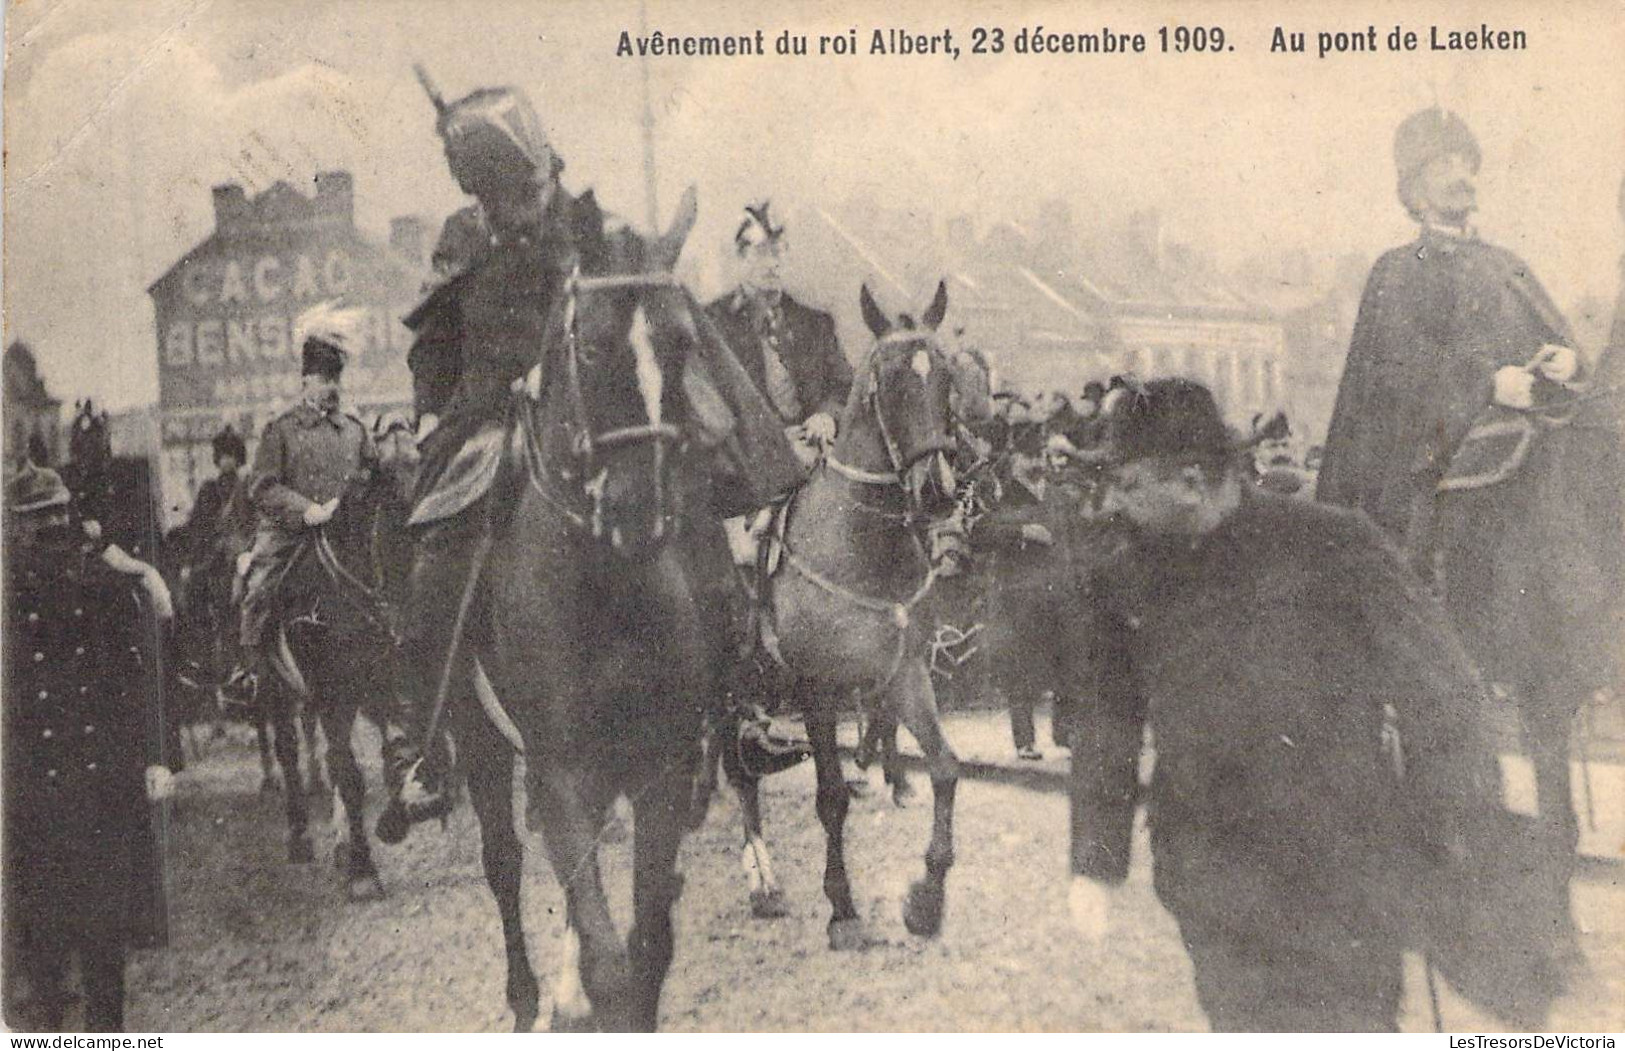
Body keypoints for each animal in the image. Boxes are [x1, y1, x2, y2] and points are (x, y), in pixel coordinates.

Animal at [256, 422, 416, 903]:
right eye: (394, 491)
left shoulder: (391, 687)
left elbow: (400, 753)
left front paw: (391, 823)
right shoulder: (333, 697)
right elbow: (349, 775)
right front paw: (363, 871)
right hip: (277, 688)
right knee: (292, 753)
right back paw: (300, 838)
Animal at [458, 185, 731, 1033]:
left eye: (680, 344)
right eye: (590, 347)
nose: (637, 512)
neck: (604, 592)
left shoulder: (659, 769)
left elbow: (648, 946)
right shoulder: (561, 773)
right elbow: (613, 960)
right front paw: (581, 989)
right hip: (481, 745)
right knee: (504, 861)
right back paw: (528, 995)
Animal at [721, 284, 962, 948]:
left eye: (947, 376)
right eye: (887, 381)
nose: (937, 491)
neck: (857, 541)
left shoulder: (906, 672)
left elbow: (945, 768)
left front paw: (926, 899)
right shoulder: (816, 688)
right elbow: (831, 797)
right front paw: (844, 909)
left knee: (740, 770)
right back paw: (760, 879)